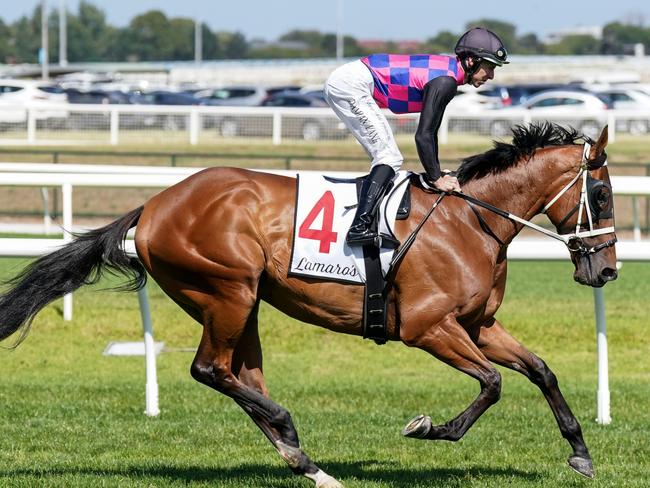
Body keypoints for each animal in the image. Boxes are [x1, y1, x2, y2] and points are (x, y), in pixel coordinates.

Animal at [0, 123, 616, 488]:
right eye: (603, 193)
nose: (607, 270)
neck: (473, 220)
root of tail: (153, 204)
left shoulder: (478, 324)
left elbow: (540, 370)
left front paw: (581, 453)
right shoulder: (427, 327)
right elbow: (492, 383)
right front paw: (428, 428)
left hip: (242, 301)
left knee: (238, 374)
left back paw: (306, 462)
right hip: (226, 289)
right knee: (210, 369)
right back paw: (289, 429)